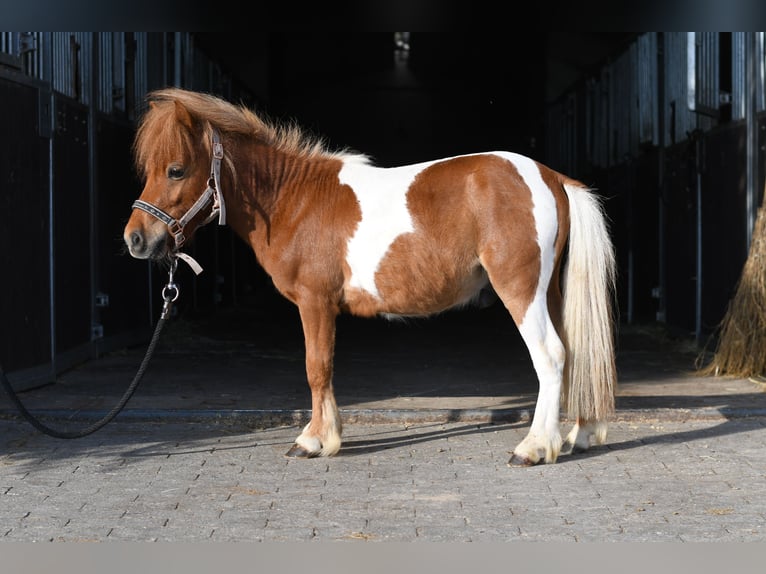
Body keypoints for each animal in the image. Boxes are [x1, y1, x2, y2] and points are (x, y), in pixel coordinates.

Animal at [123, 87, 617, 466]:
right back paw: (579, 435)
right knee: (573, 351)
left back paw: (533, 448)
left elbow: (317, 367)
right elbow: (324, 368)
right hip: (548, 292)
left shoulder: (315, 302)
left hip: (521, 291)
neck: (295, 199)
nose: (135, 239)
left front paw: (313, 441)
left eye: (176, 170)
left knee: (551, 356)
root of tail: (553, 178)